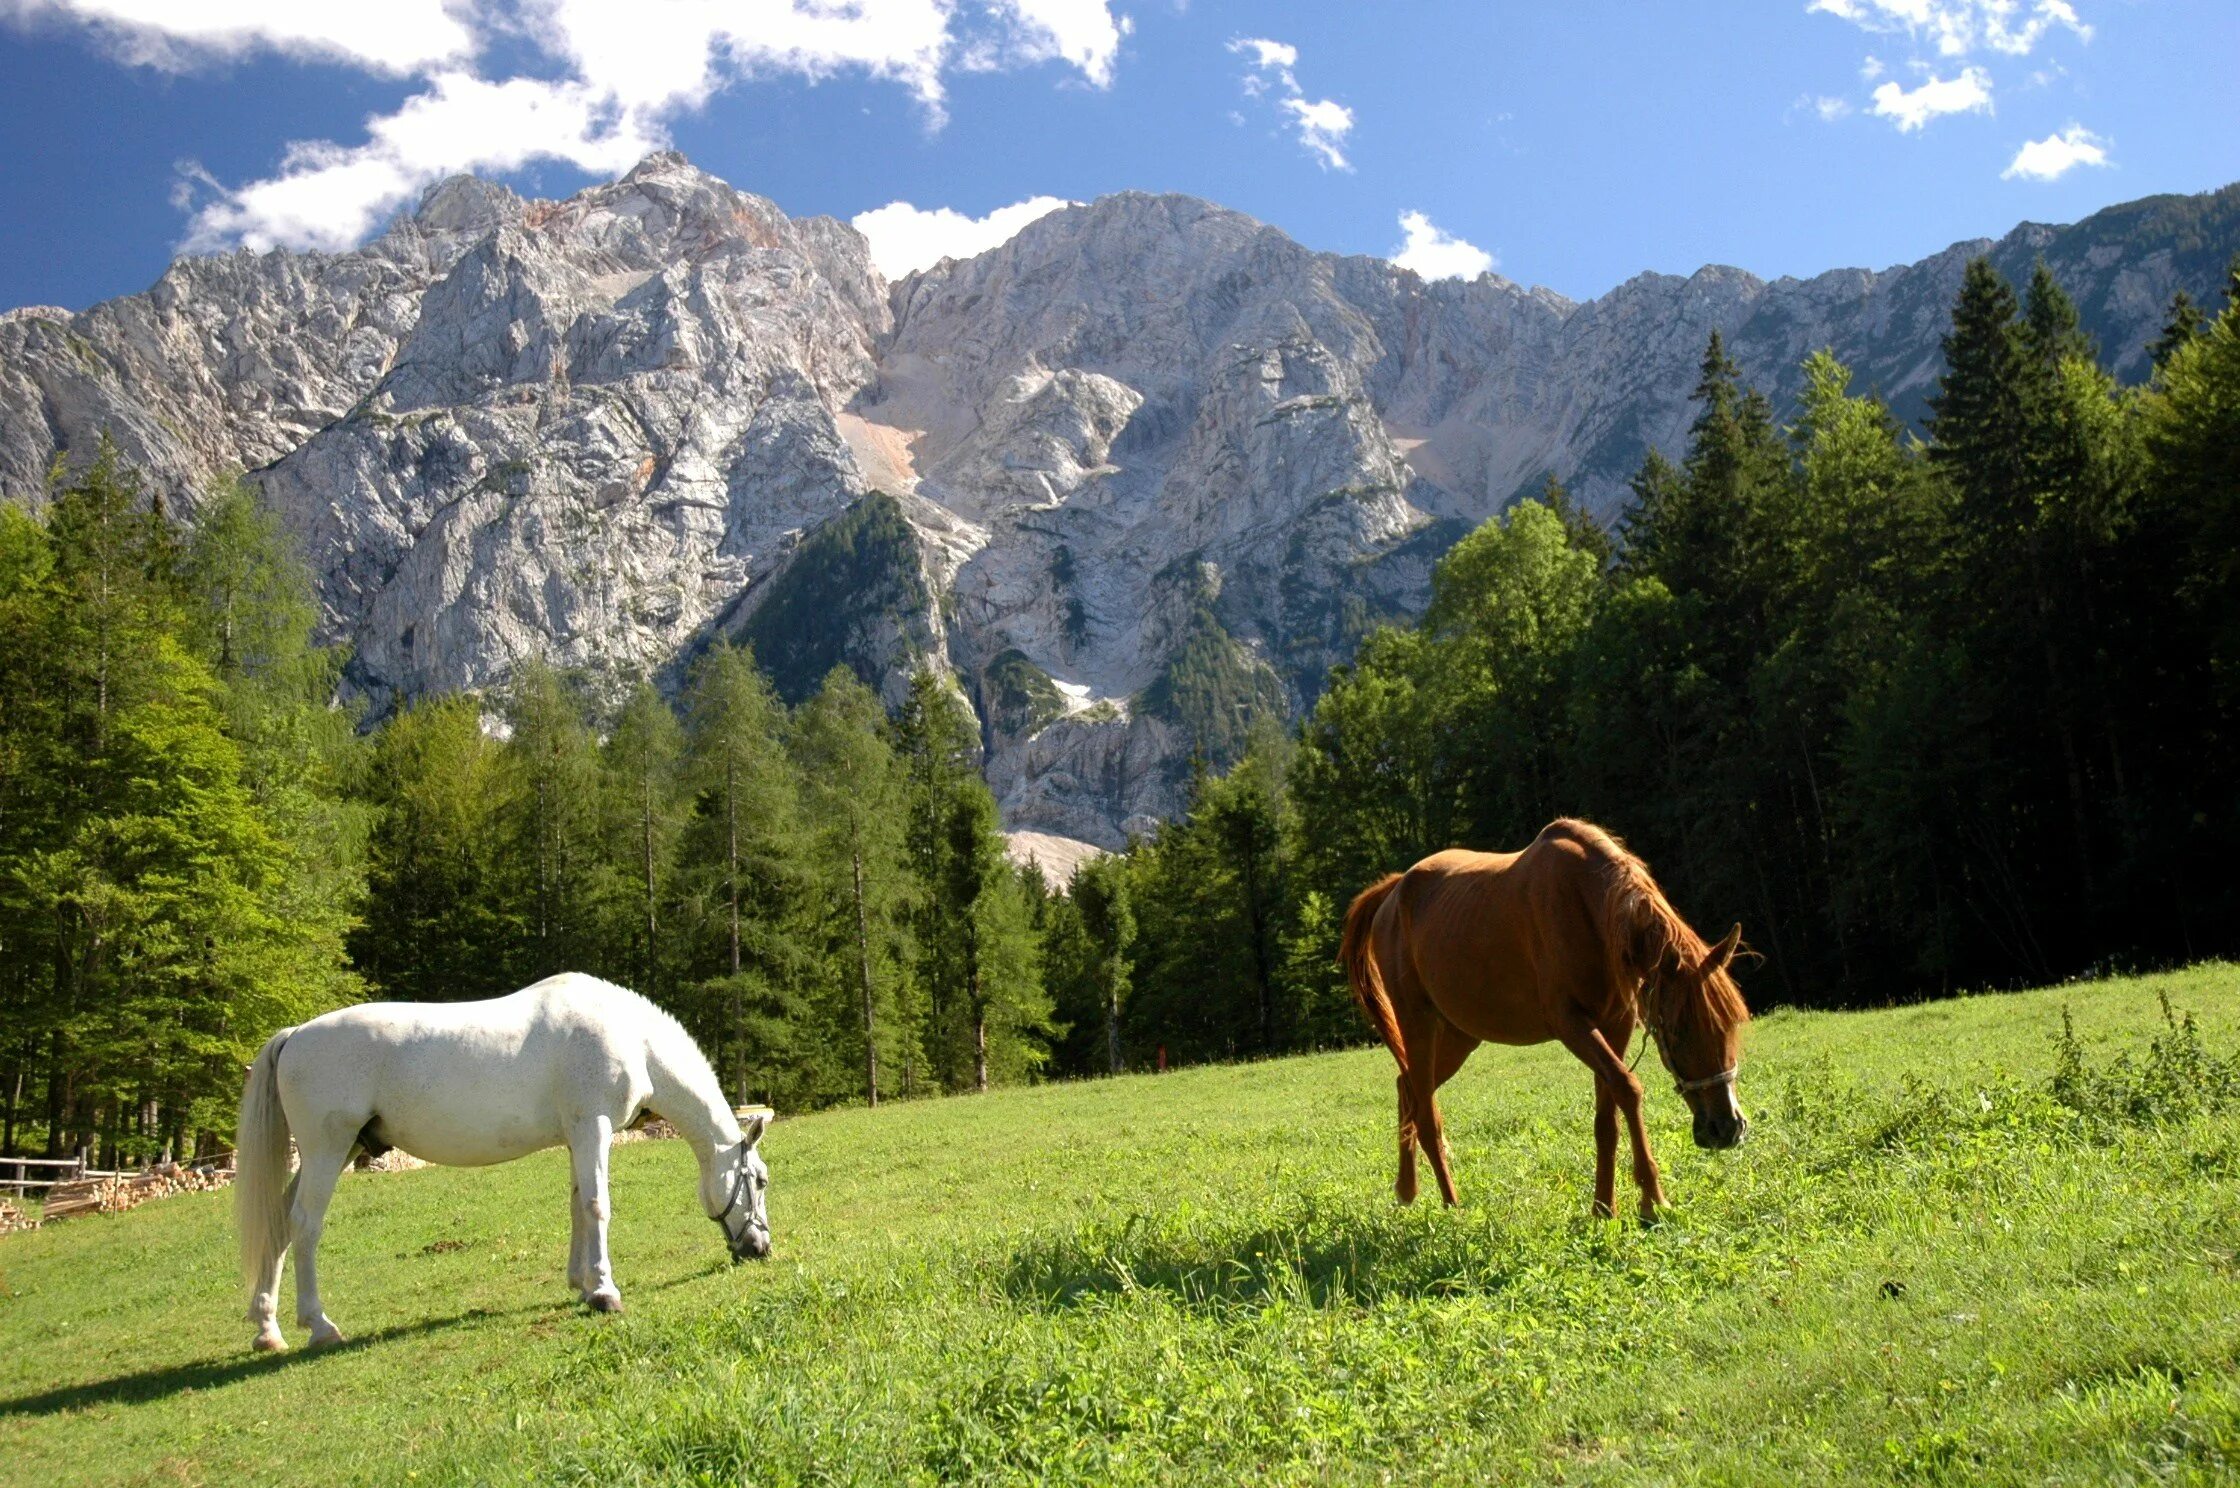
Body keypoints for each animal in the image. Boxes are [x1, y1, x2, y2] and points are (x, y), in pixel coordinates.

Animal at [231, 972, 766, 1353]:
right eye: (759, 1180)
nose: (761, 1248)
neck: (631, 1037)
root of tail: (296, 1034)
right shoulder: (592, 1128)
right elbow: (598, 1207)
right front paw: (605, 1292)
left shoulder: (577, 1139)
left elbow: (578, 1206)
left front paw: (582, 1285)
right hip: (328, 1149)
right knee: (305, 1225)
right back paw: (319, 1326)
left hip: (336, 1152)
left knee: (279, 1225)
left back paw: (268, 1329)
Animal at [1335, 815, 1756, 1219]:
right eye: (1680, 1030)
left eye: (1732, 1025)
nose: (1727, 1128)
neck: (1588, 907)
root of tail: (1393, 894)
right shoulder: (1572, 1024)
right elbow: (1629, 1088)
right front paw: (1653, 1199)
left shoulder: (1614, 1025)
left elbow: (1607, 1119)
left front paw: (1604, 1208)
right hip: (1417, 1022)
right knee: (1425, 1113)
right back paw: (1452, 1207)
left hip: (1459, 1035)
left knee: (1406, 1087)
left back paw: (1407, 1189)